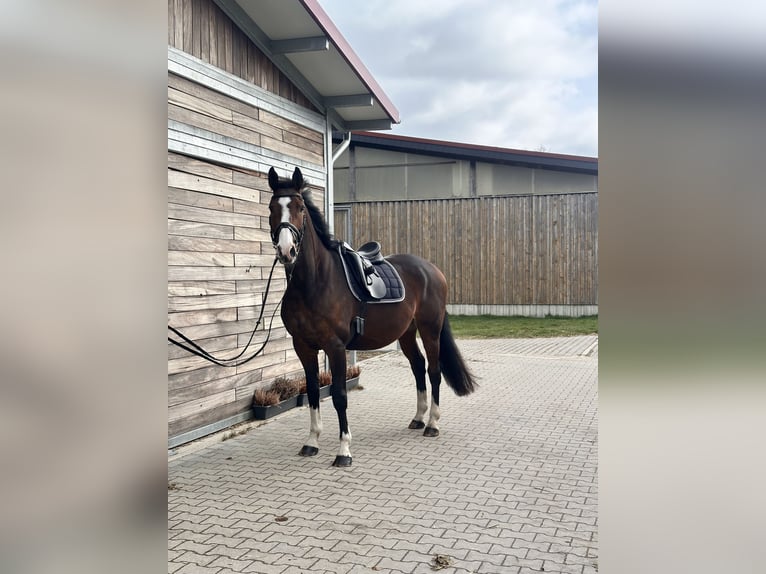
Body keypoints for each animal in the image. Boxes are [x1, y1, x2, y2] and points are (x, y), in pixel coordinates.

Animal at [267, 166, 477, 466]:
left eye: (299, 208)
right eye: (272, 207)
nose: (287, 251)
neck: (315, 282)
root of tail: (432, 270)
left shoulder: (336, 347)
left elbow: (339, 395)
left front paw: (344, 451)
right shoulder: (303, 347)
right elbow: (312, 391)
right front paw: (312, 442)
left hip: (430, 330)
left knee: (434, 371)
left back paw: (432, 424)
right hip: (406, 333)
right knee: (418, 367)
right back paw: (418, 418)